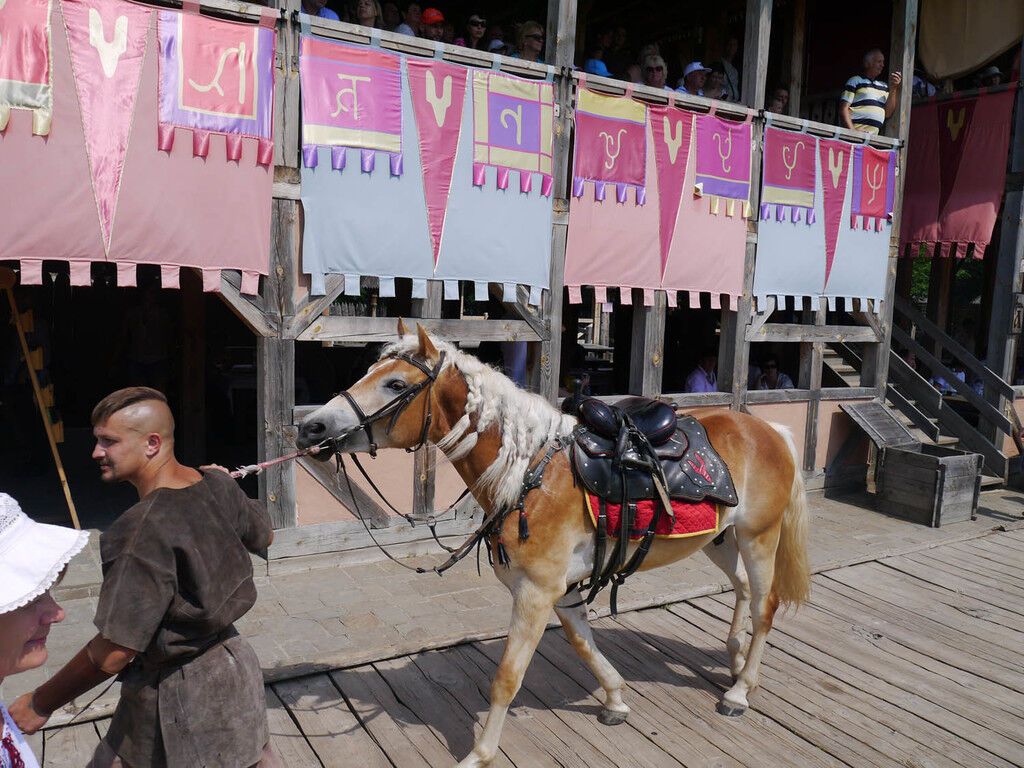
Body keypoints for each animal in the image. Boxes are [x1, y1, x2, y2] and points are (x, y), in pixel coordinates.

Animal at [296, 321, 806, 765]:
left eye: (395, 384)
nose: (311, 428)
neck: (527, 472)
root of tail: (770, 432)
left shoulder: (536, 591)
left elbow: (507, 676)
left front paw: (481, 754)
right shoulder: (562, 589)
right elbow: (583, 643)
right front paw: (615, 699)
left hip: (759, 537)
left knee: (765, 605)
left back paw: (739, 691)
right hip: (720, 539)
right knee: (743, 587)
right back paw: (735, 657)